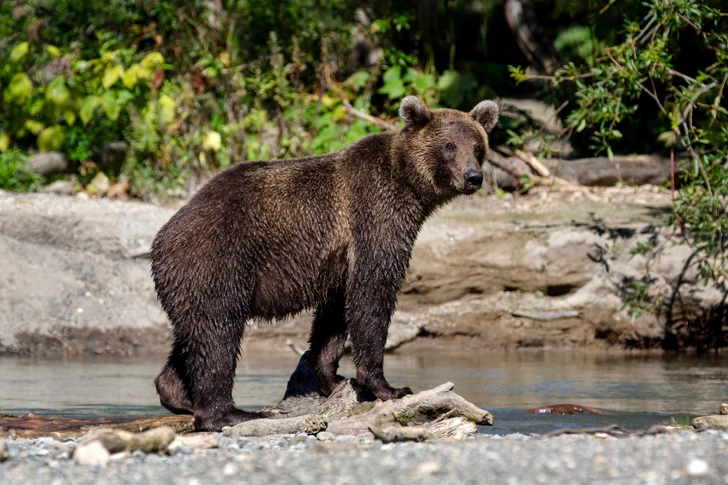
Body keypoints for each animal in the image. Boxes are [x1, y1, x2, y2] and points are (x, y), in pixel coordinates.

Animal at [151, 96, 498, 431]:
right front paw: (389, 387)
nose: (473, 176)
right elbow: (373, 292)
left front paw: (334, 378)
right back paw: (232, 413)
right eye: (449, 146)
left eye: (477, 146)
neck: (410, 188)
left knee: (194, 334)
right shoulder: (374, 216)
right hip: (218, 261)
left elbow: (334, 317)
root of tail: (161, 241)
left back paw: (177, 394)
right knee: (218, 336)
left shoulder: (338, 263)